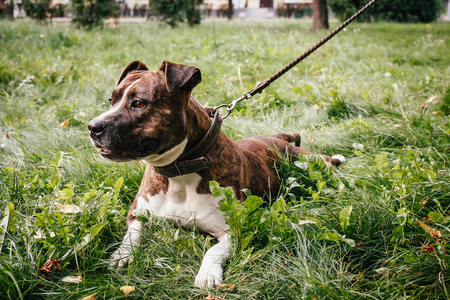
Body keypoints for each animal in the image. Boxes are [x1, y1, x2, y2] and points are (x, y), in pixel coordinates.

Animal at [88, 59, 344, 288]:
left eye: (140, 103)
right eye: (111, 100)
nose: (93, 127)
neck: (178, 172)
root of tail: (277, 138)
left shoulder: (234, 230)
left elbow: (213, 249)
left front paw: (207, 274)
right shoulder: (137, 212)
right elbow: (132, 233)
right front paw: (122, 255)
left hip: (305, 160)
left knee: (324, 161)